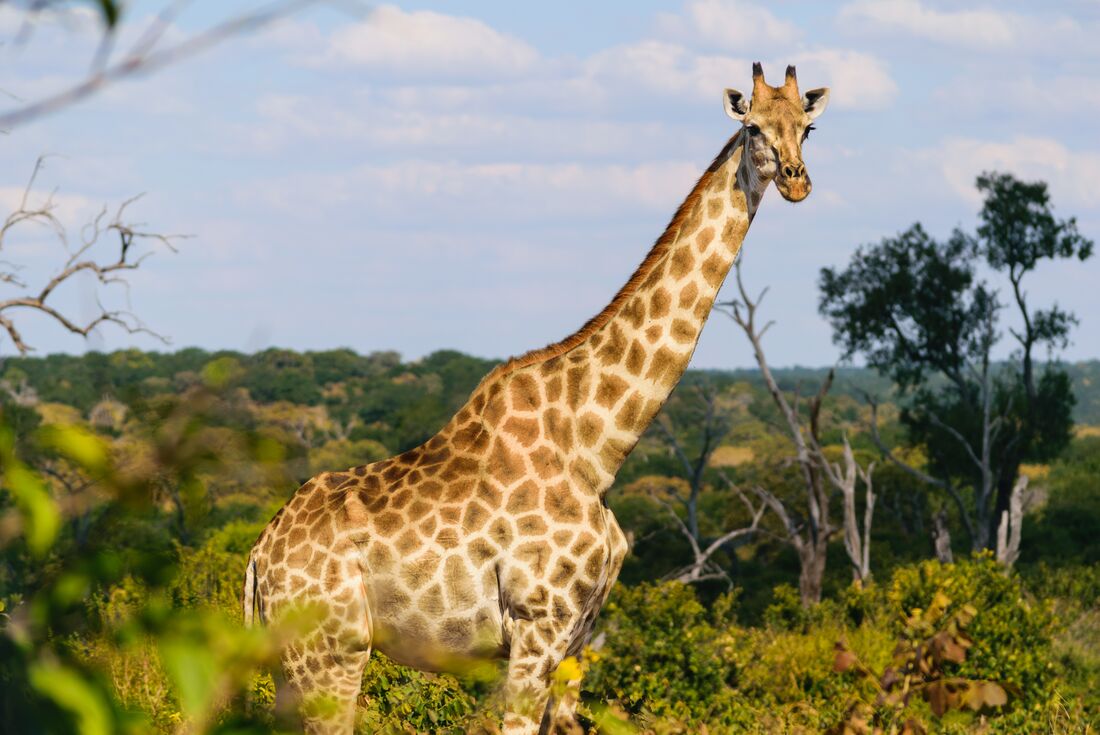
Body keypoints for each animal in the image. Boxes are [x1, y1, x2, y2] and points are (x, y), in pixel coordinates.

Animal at [243, 62, 830, 734]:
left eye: (808, 127)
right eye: (753, 126)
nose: (796, 181)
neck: (600, 448)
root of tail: (259, 556)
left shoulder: (579, 633)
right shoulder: (537, 624)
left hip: (293, 663)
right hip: (333, 654)